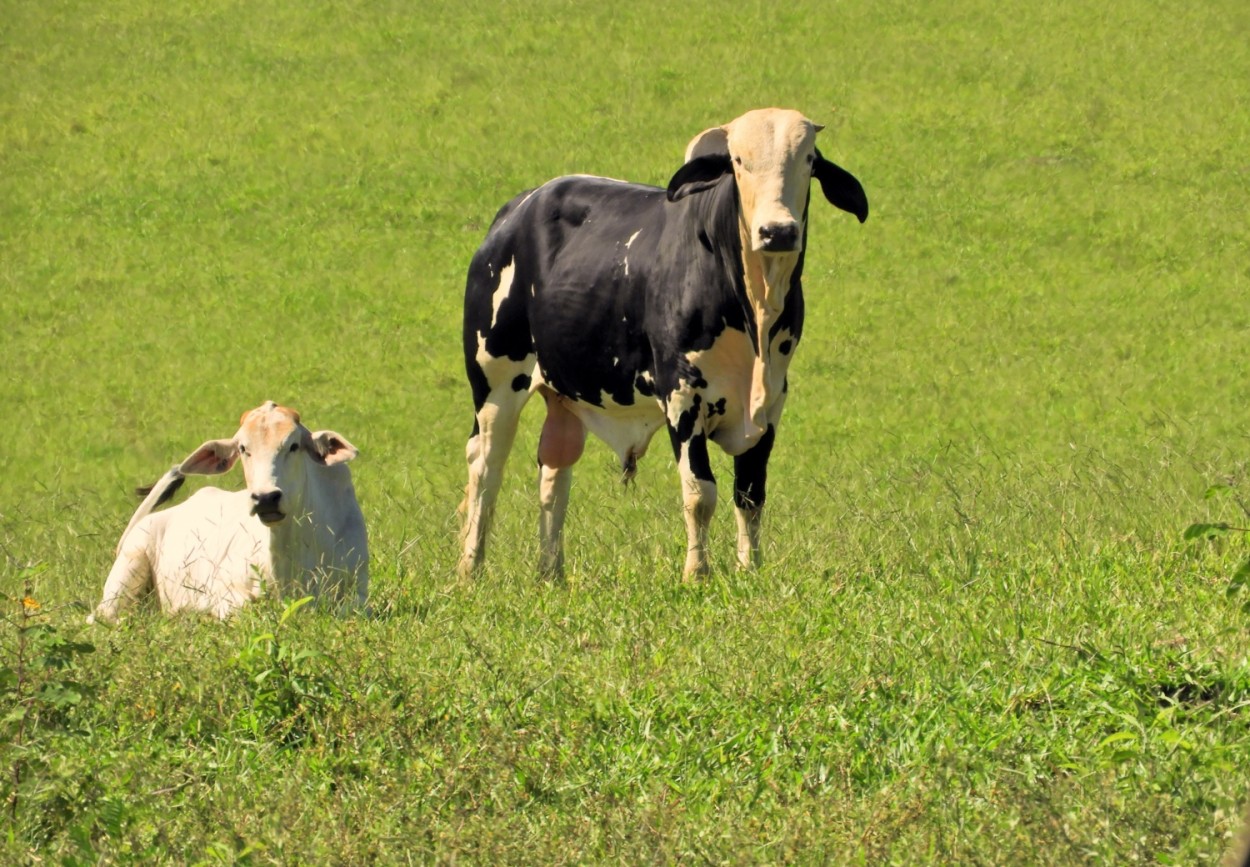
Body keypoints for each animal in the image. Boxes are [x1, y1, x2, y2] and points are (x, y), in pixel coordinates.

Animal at [91, 404, 367, 622]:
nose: (266, 498)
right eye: (243, 448)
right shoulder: (223, 592)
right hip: (125, 577)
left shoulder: (359, 596)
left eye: (294, 445)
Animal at [460, 110, 870, 584]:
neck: (754, 310)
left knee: (554, 474)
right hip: (495, 382)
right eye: (738, 161)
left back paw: (551, 574)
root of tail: (518, 209)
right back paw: (470, 571)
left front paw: (750, 568)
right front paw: (697, 573)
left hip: (565, 394)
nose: (778, 231)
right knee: (486, 468)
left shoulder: (770, 404)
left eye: (808, 159)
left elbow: (750, 494)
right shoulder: (682, 396)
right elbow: (700, 493)